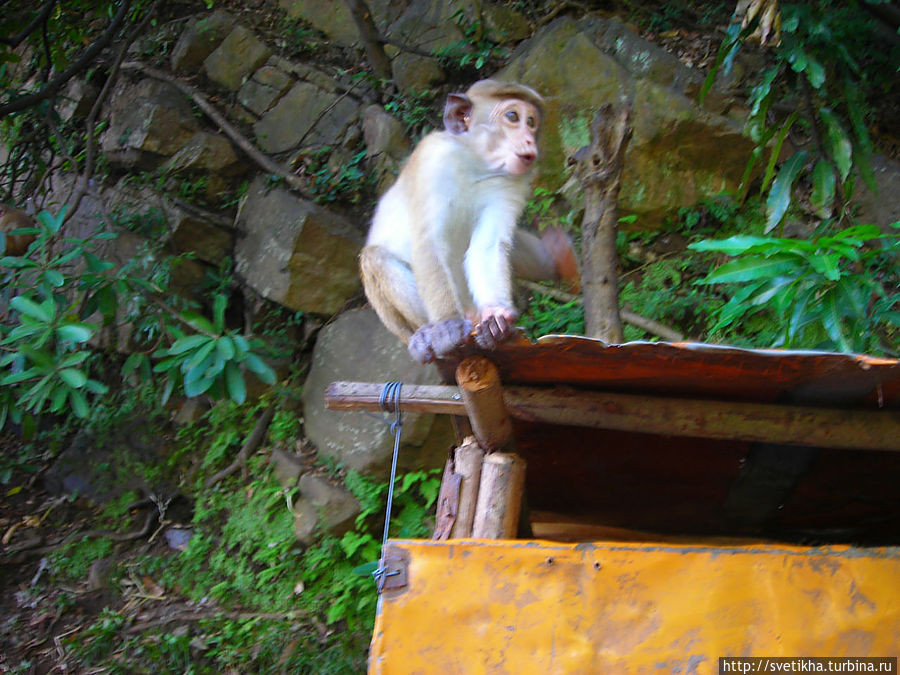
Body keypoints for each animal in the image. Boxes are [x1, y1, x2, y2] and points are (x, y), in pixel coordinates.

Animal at [358, 79, 576, 364]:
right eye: (512, 117)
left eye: (531, 122)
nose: (530, 139)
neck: (476, 164)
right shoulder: (432, 159)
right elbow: (429, 242)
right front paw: (447, 324)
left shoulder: (512, 182)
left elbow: (488, 245)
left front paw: (496, 318)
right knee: (374, 258)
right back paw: (426, 333)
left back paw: (556, 259)